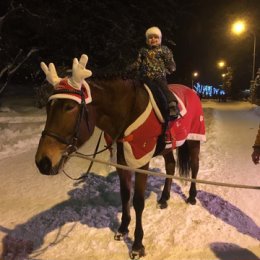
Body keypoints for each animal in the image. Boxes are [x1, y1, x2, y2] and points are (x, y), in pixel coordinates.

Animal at [35, 54, 205, 258]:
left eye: (69, 107)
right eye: (48, 107)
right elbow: (125, 196)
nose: (43, 162)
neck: (128, 113)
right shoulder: (122, 161)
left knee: (194, 167)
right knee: (171, 166)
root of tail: (192, 91)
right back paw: (164, 198)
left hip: (194, 139)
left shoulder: (141, 162)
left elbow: (138, 202)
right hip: (167, 147)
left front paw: (137, 245)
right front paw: (123, 228)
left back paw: (192, 197)